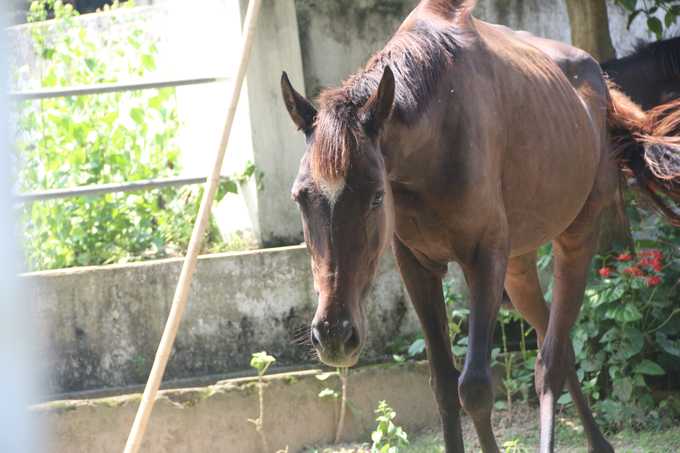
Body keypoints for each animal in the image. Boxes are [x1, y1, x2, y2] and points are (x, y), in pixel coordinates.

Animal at [280, 0, 680, 452]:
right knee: (556, 344)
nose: (334, 334)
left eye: (377, 197)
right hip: (518, 265)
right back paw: (597, 441)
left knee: (551, 361)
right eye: (300, 198)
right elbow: (442, 385)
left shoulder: (483, 259)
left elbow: (474, 387)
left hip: (578, 235)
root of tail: (601, 86)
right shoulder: (416, 266)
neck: (435, 137)